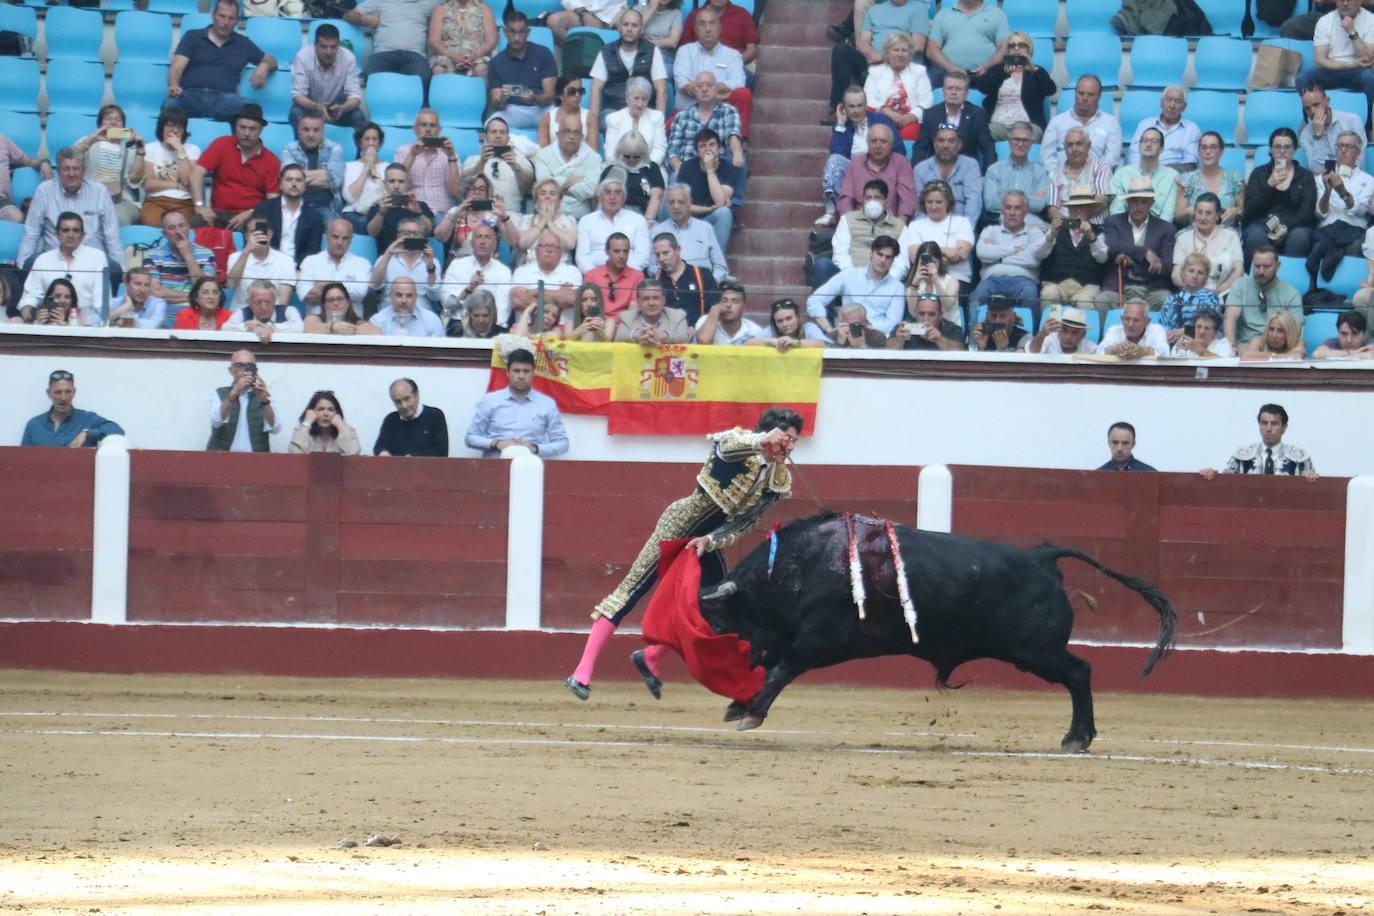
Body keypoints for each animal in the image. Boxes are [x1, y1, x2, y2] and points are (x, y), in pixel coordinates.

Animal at [703, 513, 1176, 758]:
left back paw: (1077, 738)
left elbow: (780, 669)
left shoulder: (819, 638)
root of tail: (1040, 556)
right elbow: (773, 664)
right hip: (1035, 651)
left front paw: (750, 712)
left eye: (722, 624)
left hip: (1035, 650)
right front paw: (739, 704)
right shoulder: (810, 641)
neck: (792, 568)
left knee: (1080, 672)